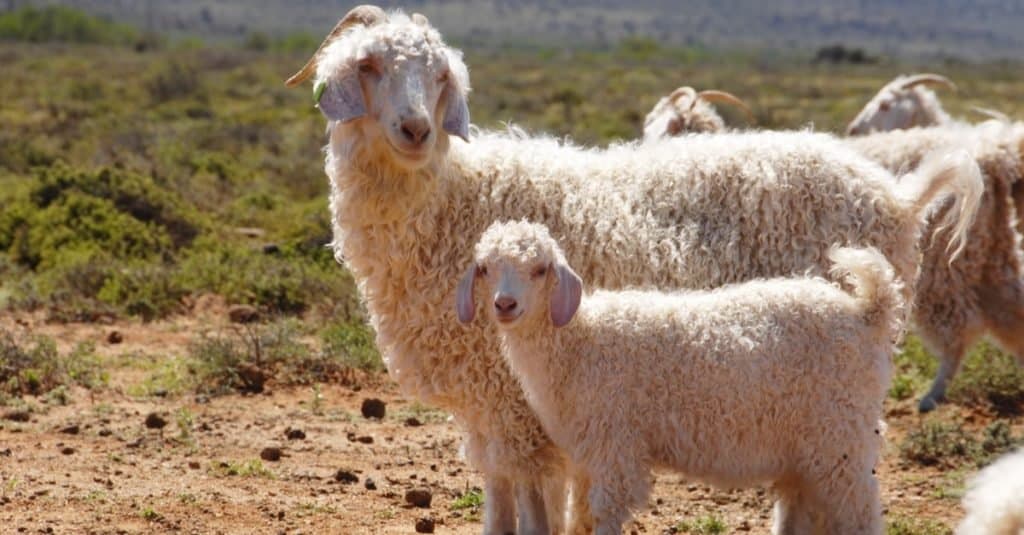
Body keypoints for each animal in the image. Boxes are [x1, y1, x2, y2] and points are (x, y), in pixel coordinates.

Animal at [460, 218, 901, 528]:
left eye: (539, 269)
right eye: (485, 268)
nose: (505, 304)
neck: (578, 341)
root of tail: (867, 312)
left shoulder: (615, 443)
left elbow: (604, 512)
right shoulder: (591, 452)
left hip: (841, 434)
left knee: (861, 510)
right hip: (808, 448)